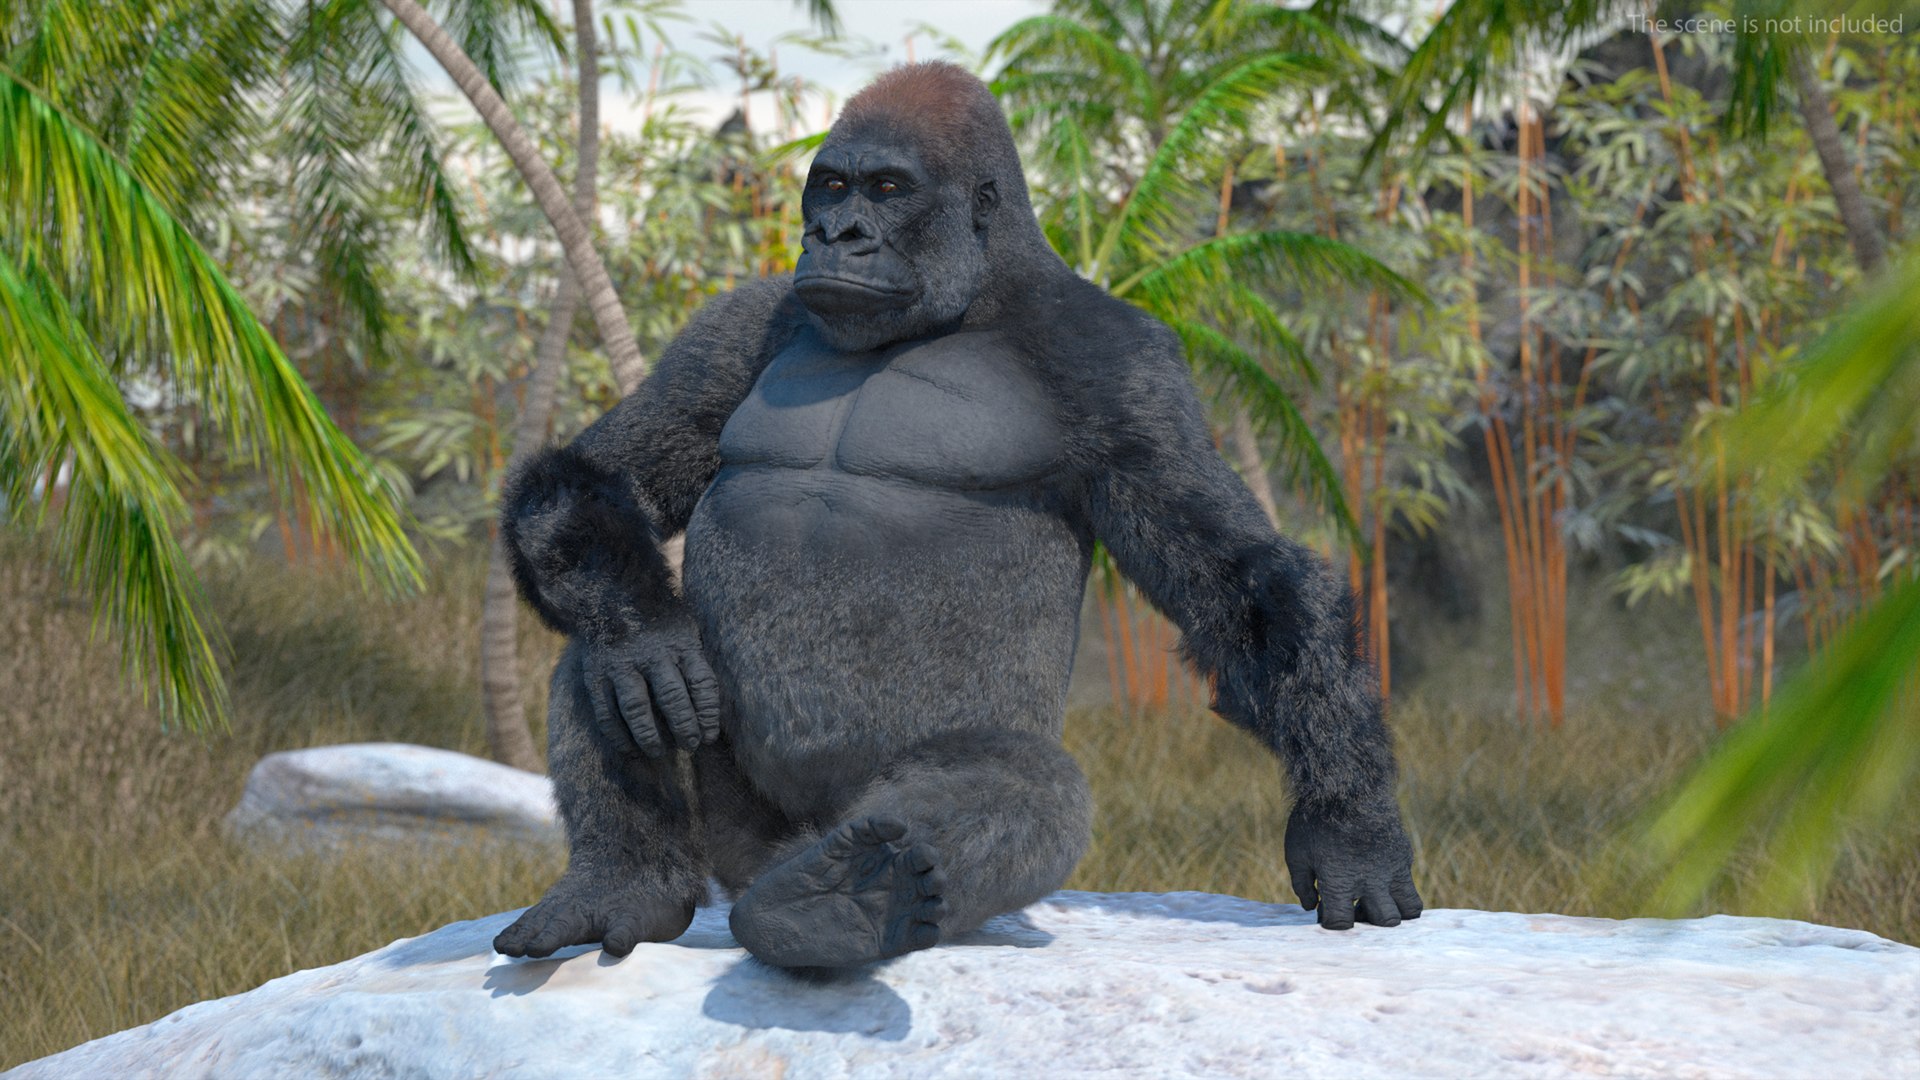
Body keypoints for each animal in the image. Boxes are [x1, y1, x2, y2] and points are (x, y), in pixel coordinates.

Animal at [492, 61, 1419, 970]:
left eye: (887, 188)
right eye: (830, 187)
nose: (837, 235)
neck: (978, 294)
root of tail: (779, 856)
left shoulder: (1126, 362)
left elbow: (1241, 583)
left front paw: (1351, 827)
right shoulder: (733, 323)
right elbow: (605, 476)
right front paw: (643, 634)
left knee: (1021, 780)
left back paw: (844, 899)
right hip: (735, 841)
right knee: (604, 642)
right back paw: (627, 876)